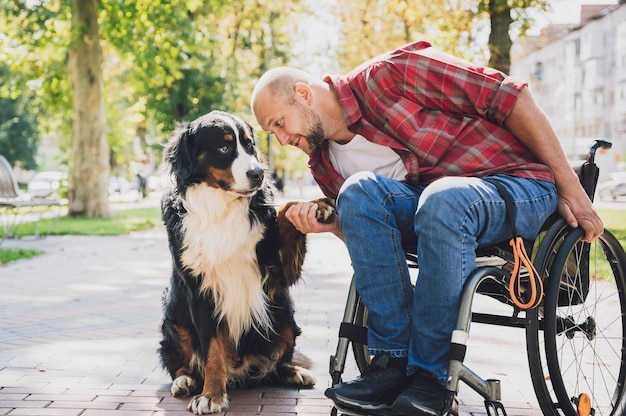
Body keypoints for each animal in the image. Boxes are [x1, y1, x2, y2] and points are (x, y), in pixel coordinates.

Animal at [158, 109, 334, 412]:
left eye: (250, 145)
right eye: (224, 147)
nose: (259, 174)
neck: (221, 207)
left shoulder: (276, 275)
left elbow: (286, 210)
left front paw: (316, 205)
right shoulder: (200, 290)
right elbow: (212, 350)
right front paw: (211, 395)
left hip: (284, 313)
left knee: (277, 363)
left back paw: (295, 372)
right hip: (174, 315)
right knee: (177, 361)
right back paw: (184, 381)